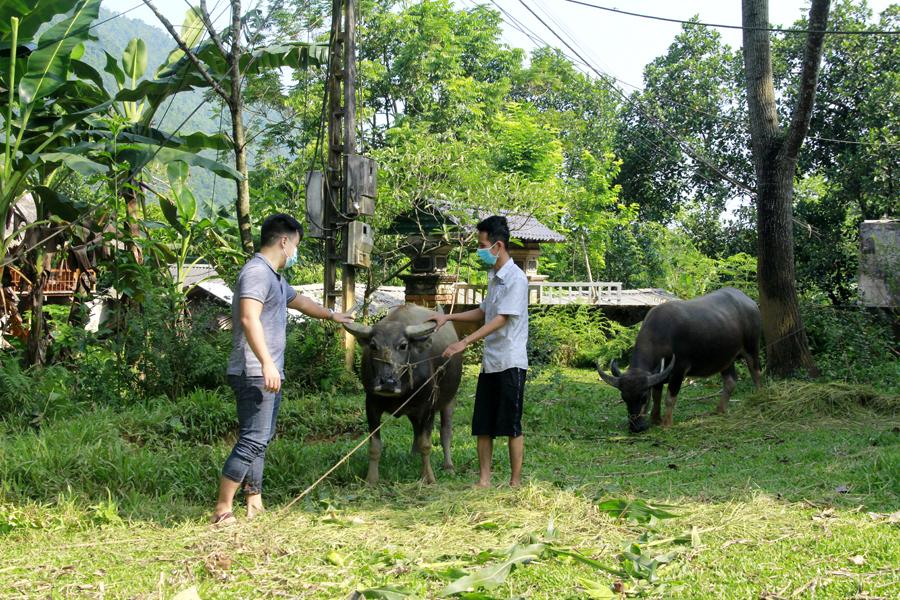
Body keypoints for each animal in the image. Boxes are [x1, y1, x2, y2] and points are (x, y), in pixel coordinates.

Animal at [344, 308, 464, 486]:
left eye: (403, 345)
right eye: (373, 345)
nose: (387, 382)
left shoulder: (428, 407)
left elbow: (426, 444)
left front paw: (428, 477)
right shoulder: (371, 405)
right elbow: (374, 446)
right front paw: (371, 479)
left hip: (449, 400)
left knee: (446, 432)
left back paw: (448, 466)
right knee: (416, 429)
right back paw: (413, 456)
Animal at [596, 288, 760, 434]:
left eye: (643, 397)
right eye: (624, 397)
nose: (636, 427)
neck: (662, 335)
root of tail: (750, 302)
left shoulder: (679, 370)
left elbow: (670, 397)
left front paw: (666, 424)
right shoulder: (658, 374)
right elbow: (657, 396)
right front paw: (655, 419)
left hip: (752, 349)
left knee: (756, 373)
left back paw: (760, 395)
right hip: (726, 358)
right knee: (730, 381)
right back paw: (719, 410)